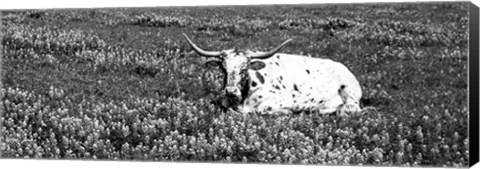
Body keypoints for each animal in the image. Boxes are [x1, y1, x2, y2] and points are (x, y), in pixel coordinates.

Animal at [184, 34, 364, 116]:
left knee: (351, 108)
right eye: (223, 68)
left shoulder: (280, 100)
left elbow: (261, 110)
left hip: (348, 91)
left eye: (245, 68)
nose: (230, 91)